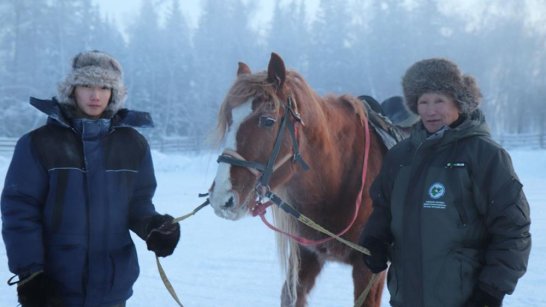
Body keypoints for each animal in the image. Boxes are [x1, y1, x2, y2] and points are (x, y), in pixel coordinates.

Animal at [206, 53, 384, 307]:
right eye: (229, 119)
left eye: (268, 120)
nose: (222, 196)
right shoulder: (306, 255)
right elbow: (290, 294)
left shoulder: (369, 269)